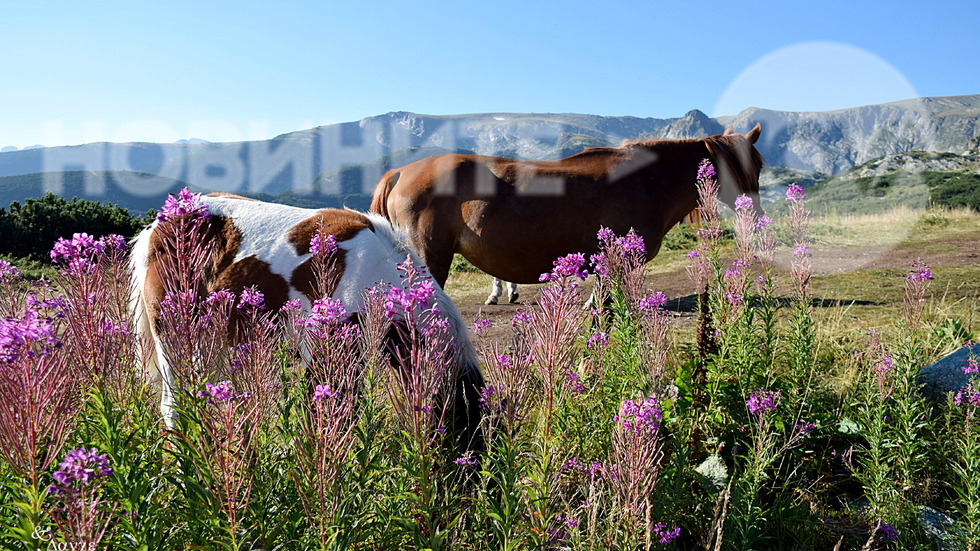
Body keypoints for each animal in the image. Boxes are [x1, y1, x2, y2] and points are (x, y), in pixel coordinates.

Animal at [130, 194, 482, 444]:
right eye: (463, 434)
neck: (378, 272)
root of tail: (158, 228)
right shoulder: (326, 356)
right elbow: (329, 422)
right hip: (175, 337)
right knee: (174, 406)